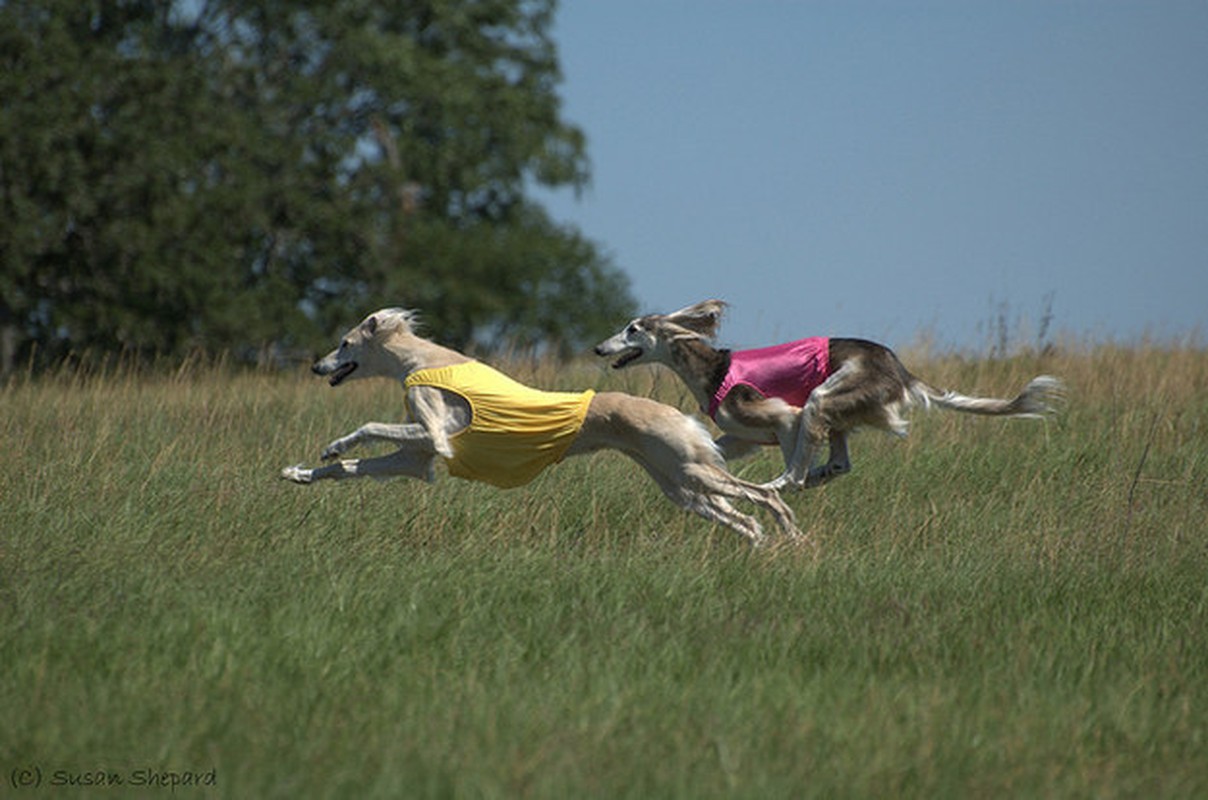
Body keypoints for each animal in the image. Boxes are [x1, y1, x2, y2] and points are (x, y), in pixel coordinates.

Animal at [282, 306, 802, 546]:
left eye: (344, 341)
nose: (317, 367)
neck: (421, 360)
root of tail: (679, 413)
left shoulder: (436, 436)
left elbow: (368, 426)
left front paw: (334, 444)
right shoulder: (417, 460)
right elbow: (348, 469)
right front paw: (300, 473)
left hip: (690, 471)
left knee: (766, 496)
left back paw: (791, 535)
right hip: (680, 484)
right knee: (745, 519)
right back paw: (762, 547)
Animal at [596, 299, 1067, 493]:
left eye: (633, 329)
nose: (599, 348)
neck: (712, 370)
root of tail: (900, 369)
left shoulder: (785, 417)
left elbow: (792, 462)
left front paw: (783, 484)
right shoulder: (742, 435)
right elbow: (714, 446)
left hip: (825, 395)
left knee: (798, 470)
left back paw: (788, 484)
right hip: (838, 411)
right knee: (841, 463)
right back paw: (822, 474)